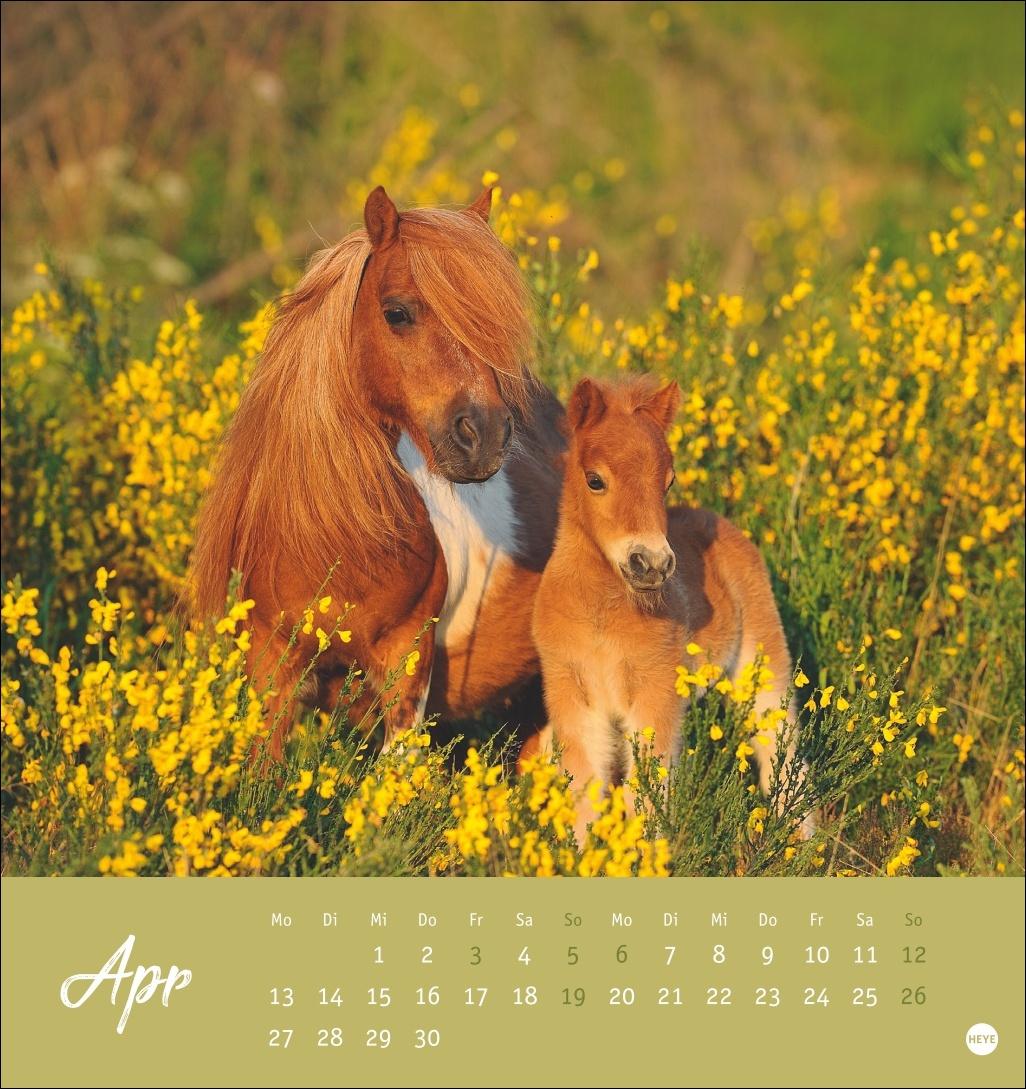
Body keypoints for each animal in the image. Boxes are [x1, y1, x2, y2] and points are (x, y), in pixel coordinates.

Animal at [524, 375, 802, 843]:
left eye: (667, 482)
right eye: (595, 480)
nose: (651, 564)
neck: (601, 617)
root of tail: (718, 520)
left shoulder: (655, 694)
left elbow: (647, 796)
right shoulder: (573, 697)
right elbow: (584, 792)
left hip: (762, 658)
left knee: (781, 744)